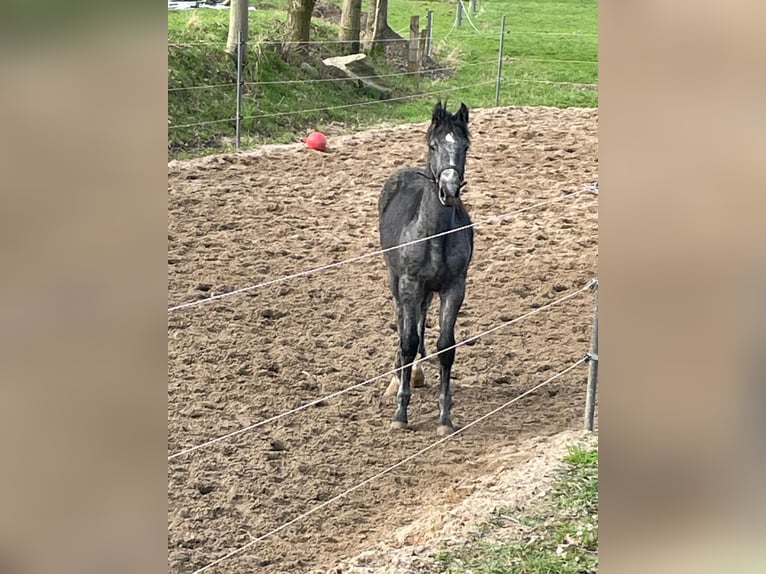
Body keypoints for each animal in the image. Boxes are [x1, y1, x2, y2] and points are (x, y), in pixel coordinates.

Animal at [378, 102, 474, 436]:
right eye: (434, 145)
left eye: (465, 146)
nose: (450, 189)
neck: (434, 235)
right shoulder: (409, 283)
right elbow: (407, 342)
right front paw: (400, 414)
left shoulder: (454, 287)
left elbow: (445, 347)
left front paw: (445, 418)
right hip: (396, 281)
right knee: (403, 323)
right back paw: (398, 374)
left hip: (428, 290)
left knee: (420, 319)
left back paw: (417, 372)